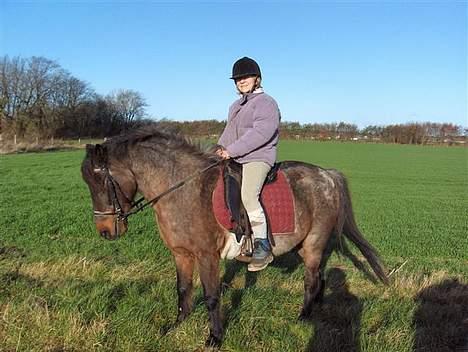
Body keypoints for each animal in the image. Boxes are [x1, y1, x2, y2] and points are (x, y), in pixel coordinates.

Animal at [80, 126, 388, 346]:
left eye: (102, 181)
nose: (105, 231)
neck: (183, 189)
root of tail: (328, 175)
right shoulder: (181, 254)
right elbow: (183, 289)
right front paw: (176, 325)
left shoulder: (207, 256)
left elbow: (212, 296)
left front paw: (214, 338)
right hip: (311, 246)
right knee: (321, 278)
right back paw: (315, 313)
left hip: (313, 245)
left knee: (311, 281)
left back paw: (302, 318)